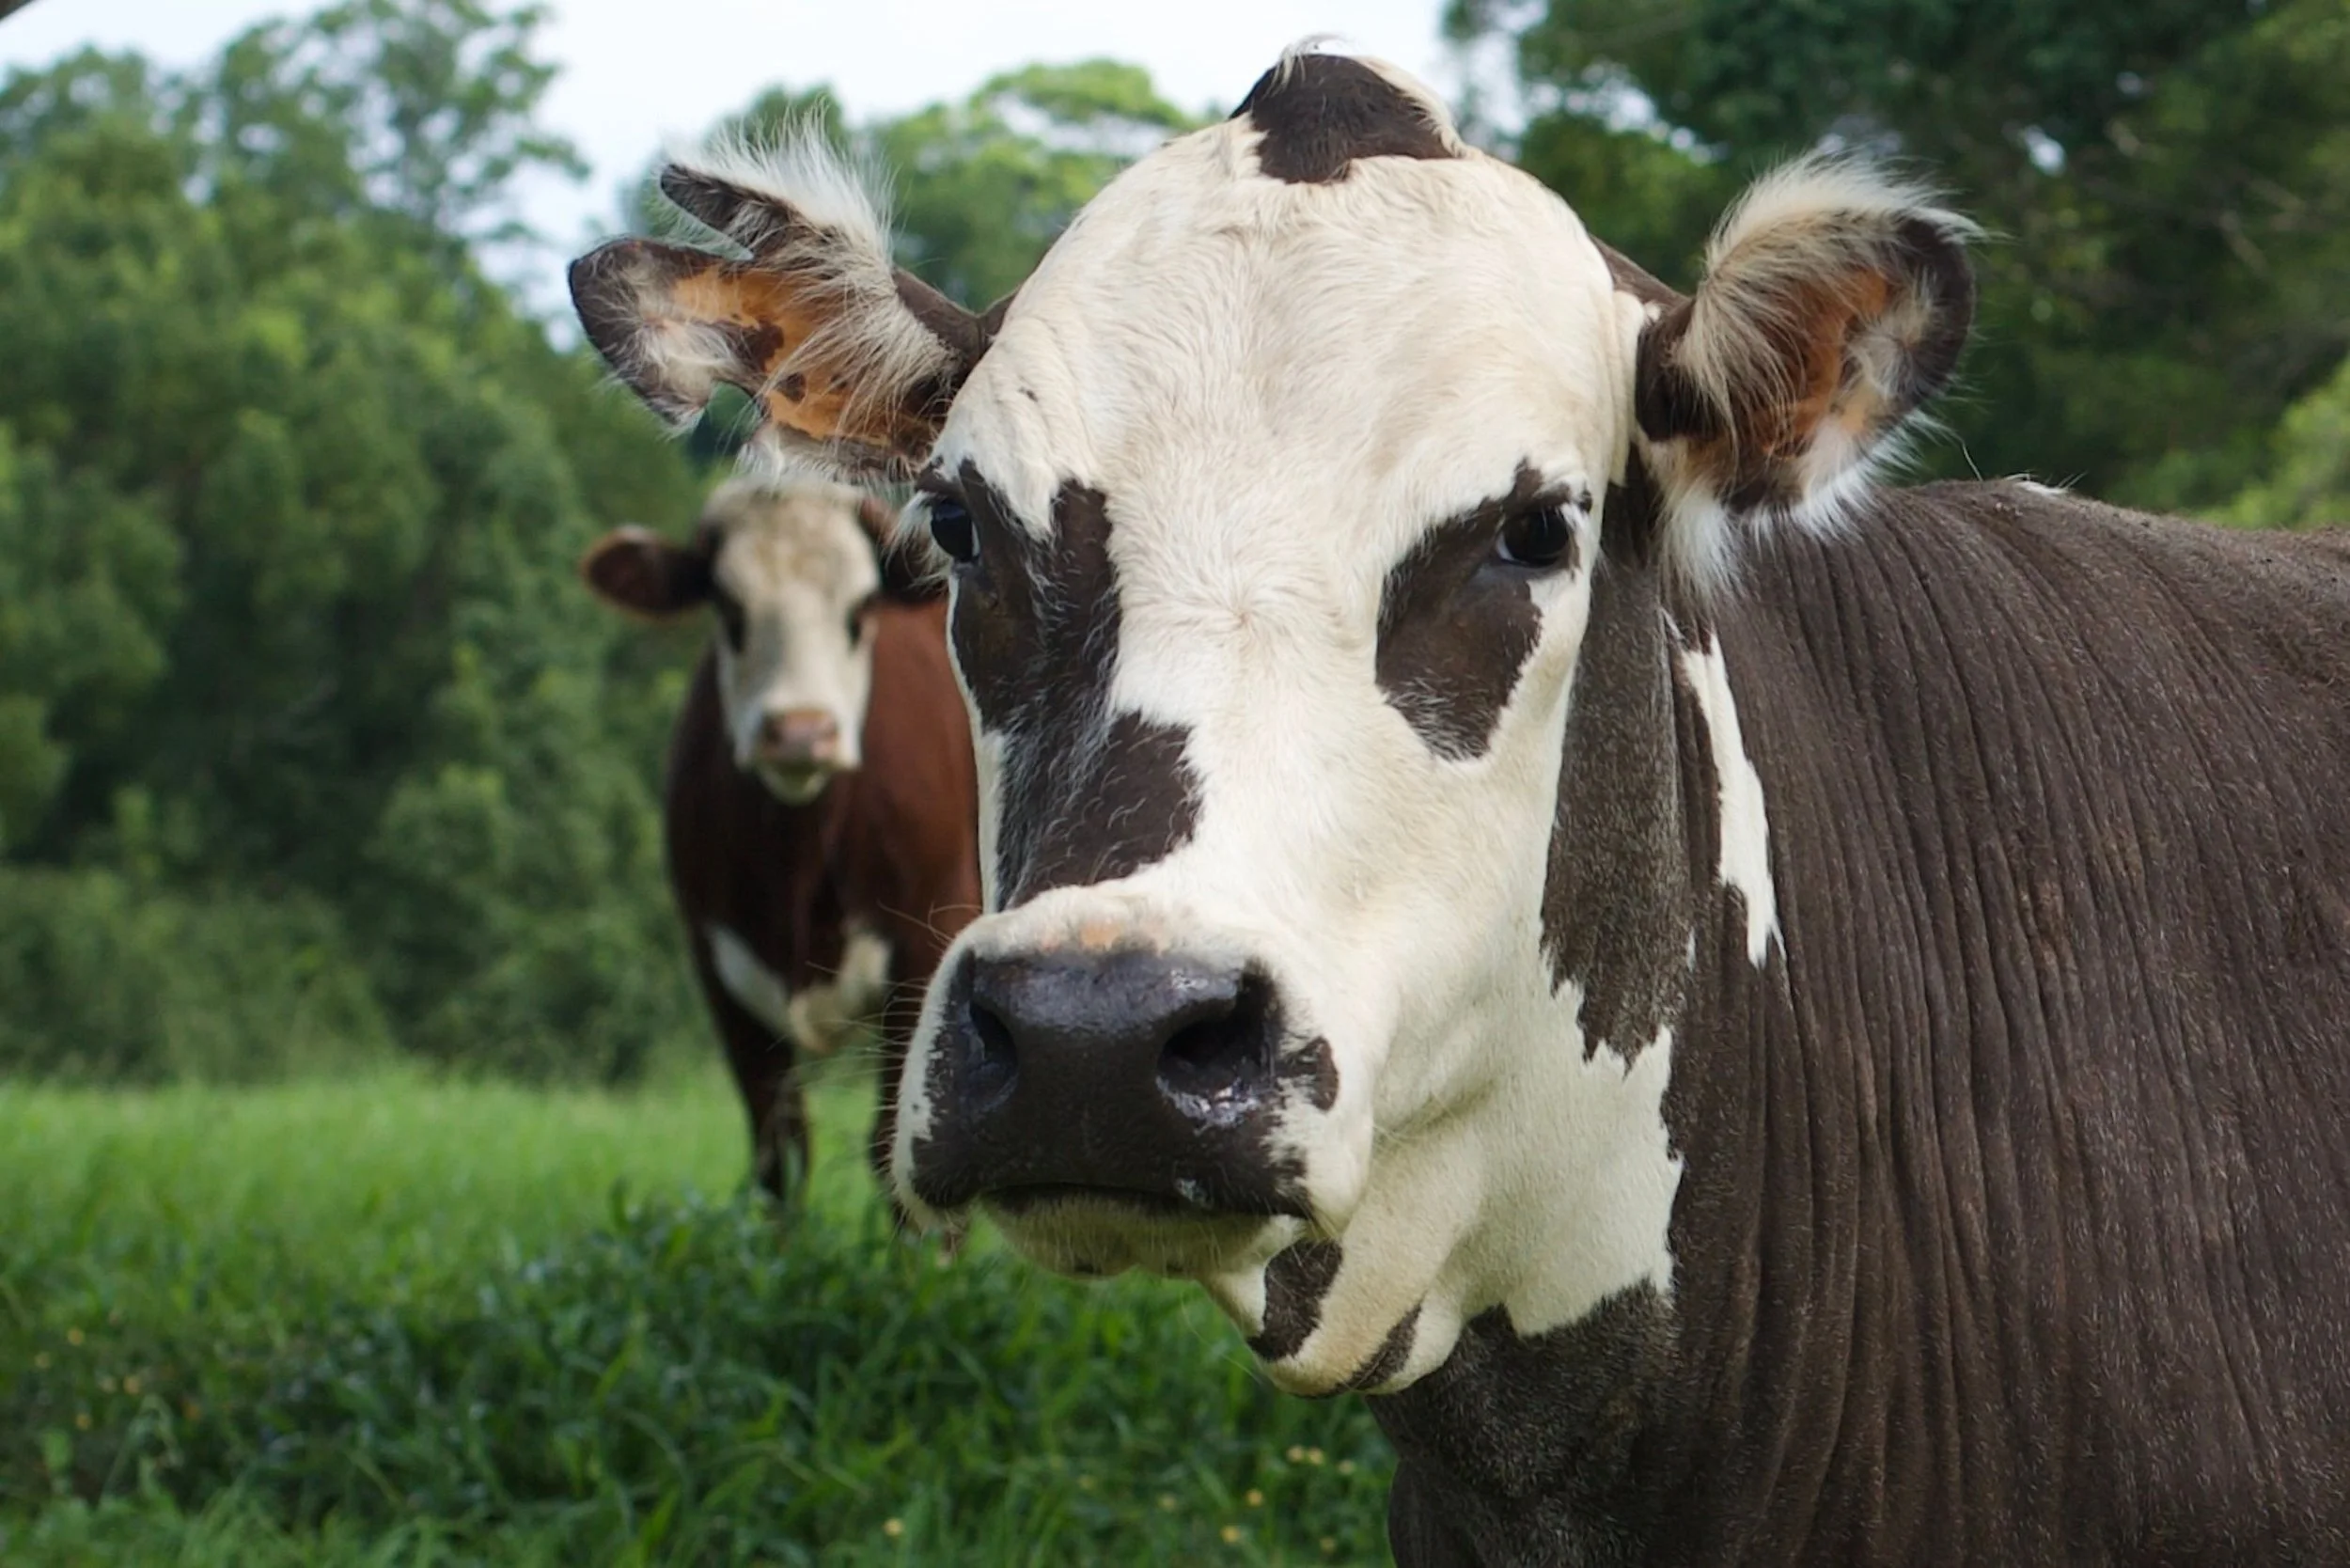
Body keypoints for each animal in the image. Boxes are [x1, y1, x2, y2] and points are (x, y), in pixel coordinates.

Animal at [581, 478, 979, 1203]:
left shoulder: (928, 942)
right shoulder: (719, 966)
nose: (800, 731)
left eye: (860, 609)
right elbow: (780, 1153)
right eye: (729, 608)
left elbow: (899, 1152)